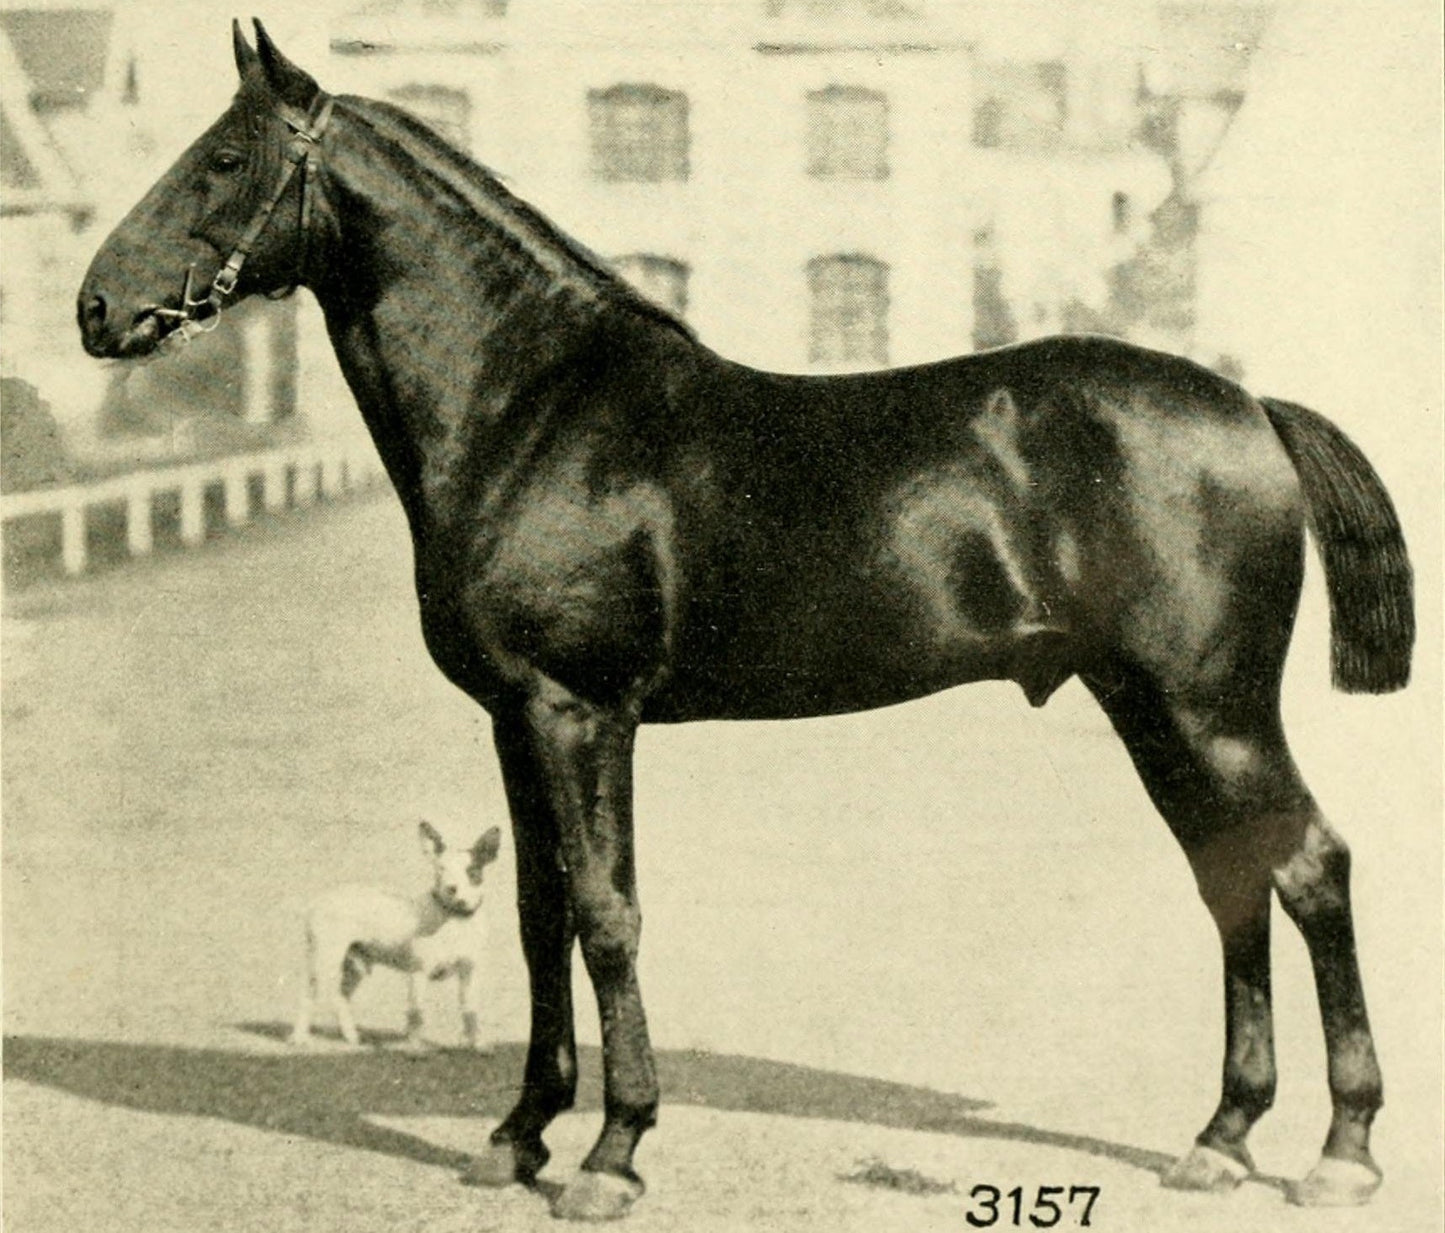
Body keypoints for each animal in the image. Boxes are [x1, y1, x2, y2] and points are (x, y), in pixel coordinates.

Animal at [78, 21, 1413, 1222]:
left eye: (224, 159)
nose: (97, 307)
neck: (537, 410)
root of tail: (1248, 406)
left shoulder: (581, 713)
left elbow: (607, 916)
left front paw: (612, 1153)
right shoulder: (514, 720)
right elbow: (538, 916)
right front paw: (516, 1138)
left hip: (1209, 708)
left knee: (1308, 868)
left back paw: (1340, 1152)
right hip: (1148, 707)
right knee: (1230, 879)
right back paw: (1221, 1138)